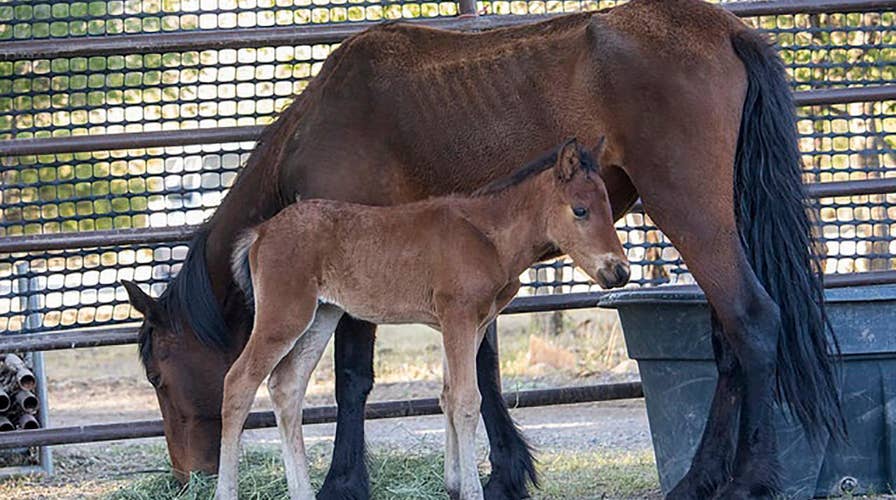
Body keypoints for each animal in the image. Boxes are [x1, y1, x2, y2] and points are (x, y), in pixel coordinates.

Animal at [211, 138, 629, 500]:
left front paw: (454, 486)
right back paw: (227, 491)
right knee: (238, 382)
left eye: (610, 208)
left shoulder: (472, 323)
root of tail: (260, 232)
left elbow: (447, 395)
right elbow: (465, 399)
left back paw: (303, 492)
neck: (487, 236)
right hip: (284, 316)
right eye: (580, 210)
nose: (620, 271)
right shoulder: (458, 315)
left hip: (320, 316)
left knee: (287, 387)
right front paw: (472, 491)